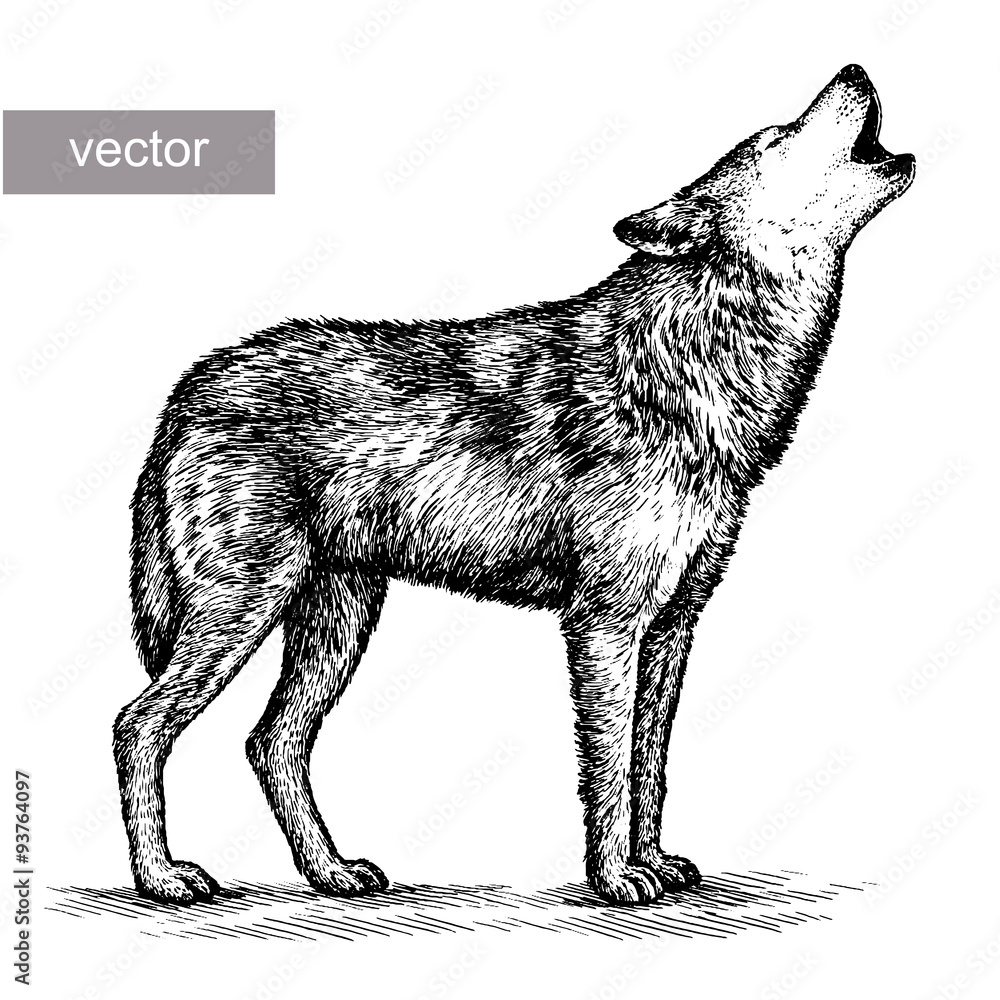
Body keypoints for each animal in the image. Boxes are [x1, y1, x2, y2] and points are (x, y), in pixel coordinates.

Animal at [114, 65, 913, 905]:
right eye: (775, 137)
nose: (855, 68)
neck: (684, 370)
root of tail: (192, 384)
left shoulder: (671, 627)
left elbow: (651, 766)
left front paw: (654, 862)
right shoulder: (604, 626)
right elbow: (610, 768)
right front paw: (616, 876)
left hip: (337, 620)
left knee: (272, 741)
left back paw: (330, 870)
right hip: (240, 615)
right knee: (140, 726)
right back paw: (161, 877)